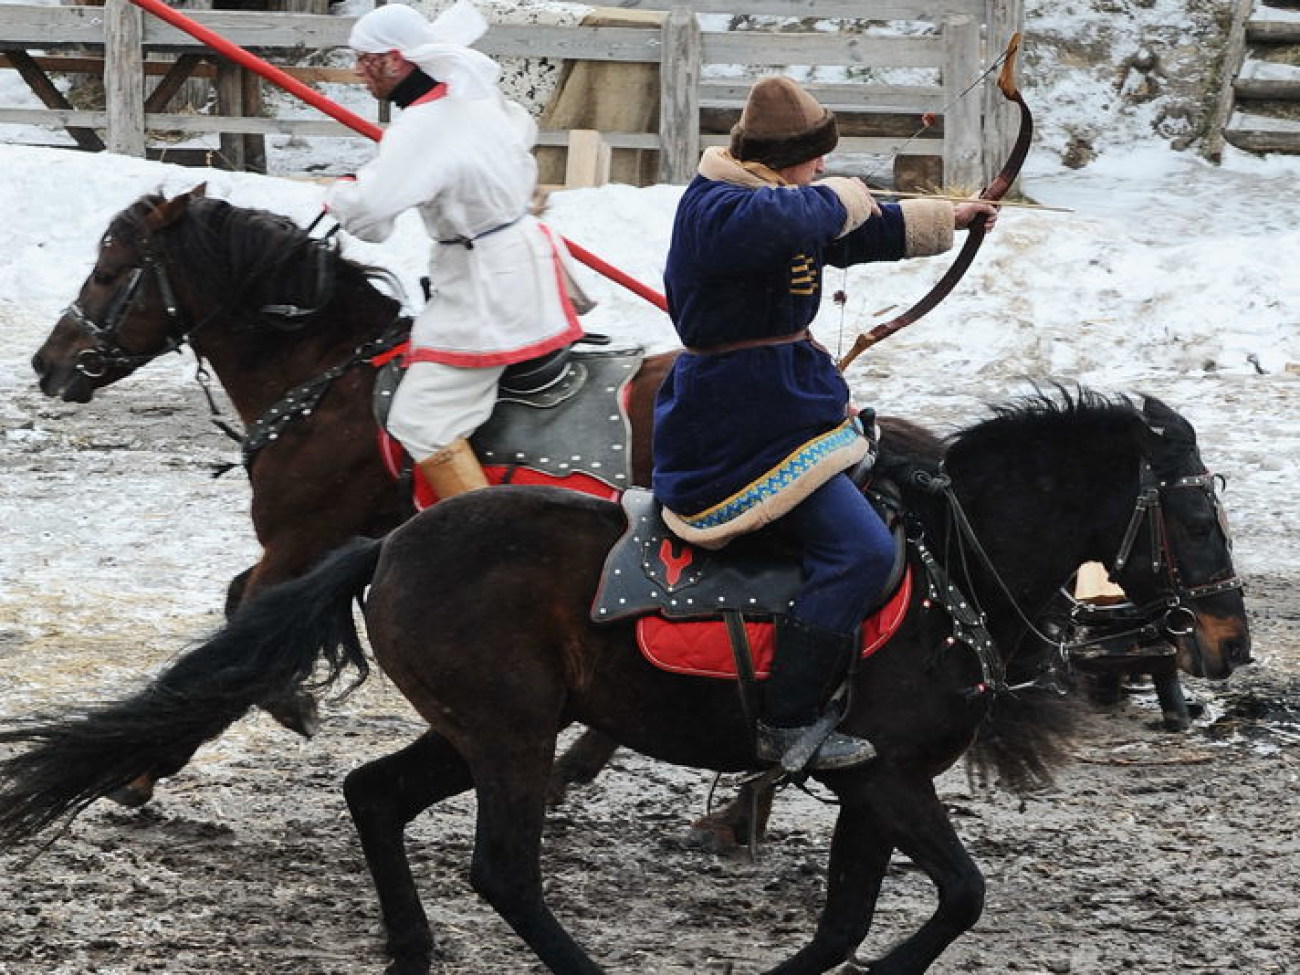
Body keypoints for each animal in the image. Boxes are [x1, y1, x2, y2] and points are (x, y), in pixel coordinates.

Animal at [0, 392, 1248, 975]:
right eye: (1191, 510)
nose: (1226, 639)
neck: (952, 561)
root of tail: (390, 545)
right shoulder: (887, 778)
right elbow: (956, 898)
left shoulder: (871, 785)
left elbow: (853, 916)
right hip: (508, 735)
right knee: (502, 867)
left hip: (481, 729)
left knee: (374, 797)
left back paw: (410, 945)